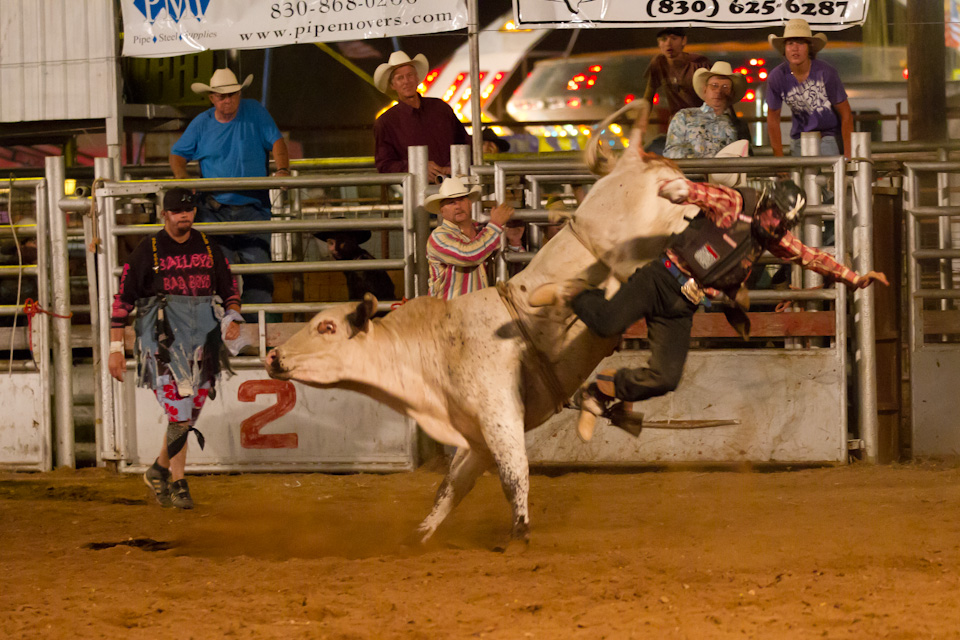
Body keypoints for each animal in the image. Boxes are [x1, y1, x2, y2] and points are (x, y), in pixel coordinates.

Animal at [265, 146, 696, 546]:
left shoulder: (500, 415)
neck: (434, 350)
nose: (273, 356)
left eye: (326, 326)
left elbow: (514, 475)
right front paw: (419, 536)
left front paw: (518, 536)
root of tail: (639, 160)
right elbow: (449, 489)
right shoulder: (474, 438)